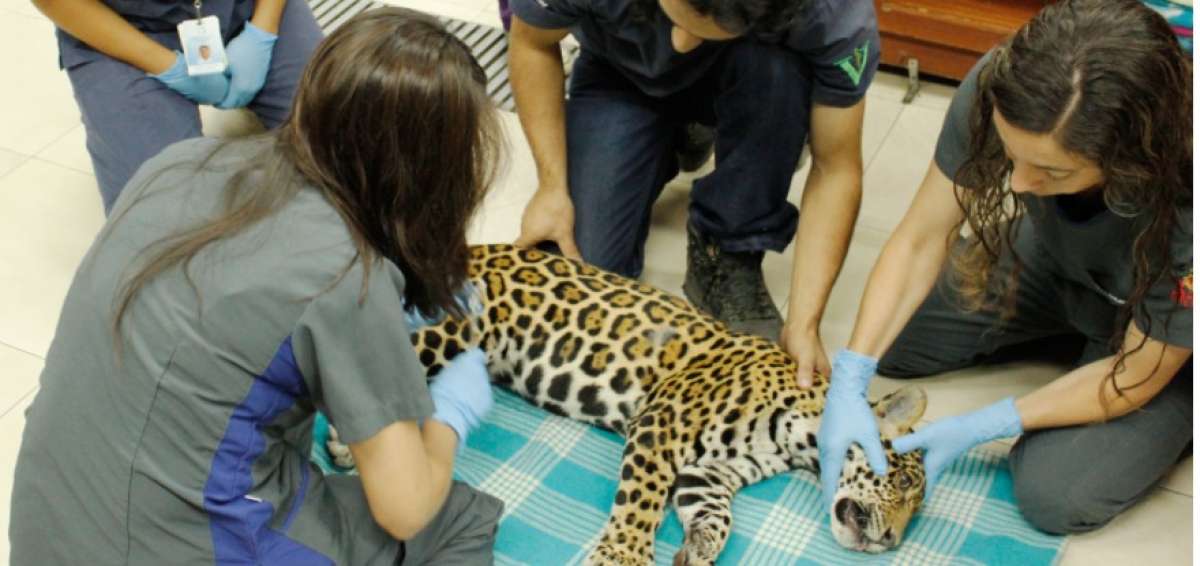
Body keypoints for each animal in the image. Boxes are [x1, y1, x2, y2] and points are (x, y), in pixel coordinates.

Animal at [327, 243, 929, 563]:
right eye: (901, 483)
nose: (892, 540)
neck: (796, 438)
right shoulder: (661, 425)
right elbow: (641, 502)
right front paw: (624, 554)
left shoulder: (709, 474)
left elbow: (718, 515)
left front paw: (699, 548)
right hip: (445, 329)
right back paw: (342, 441)